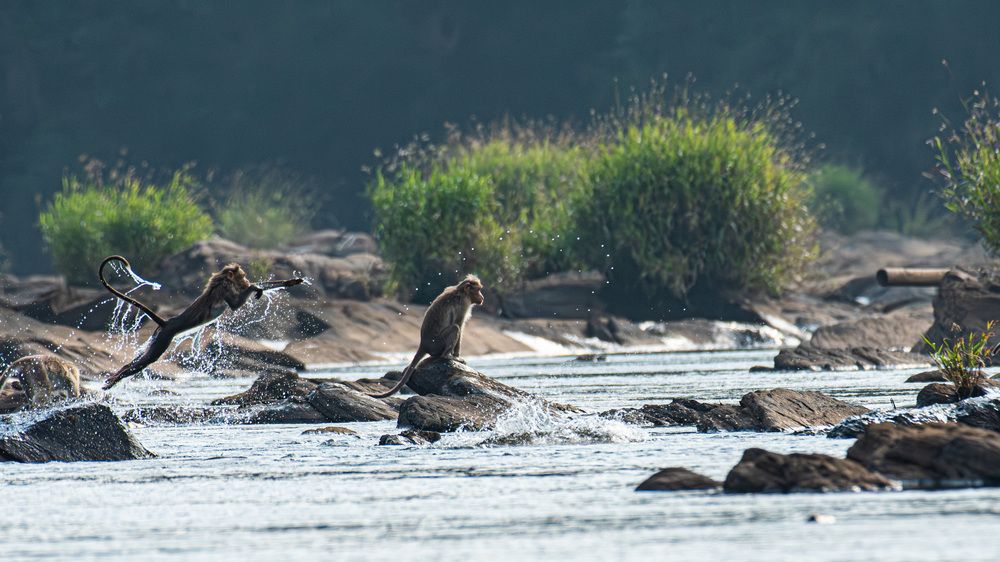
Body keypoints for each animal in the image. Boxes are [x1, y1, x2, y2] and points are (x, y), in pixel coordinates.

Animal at [99, 255, 303, 390]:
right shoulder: (226, 291)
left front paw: (291, 281)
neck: (222, 280)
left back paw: (113, 378)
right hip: (164, 339)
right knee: (146, 361)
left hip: (157, 338)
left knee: (138, 360)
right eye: (243, 276)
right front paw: (255, 287)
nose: (245, 280)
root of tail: (166, 322)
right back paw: (114, 381)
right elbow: (236, 304)